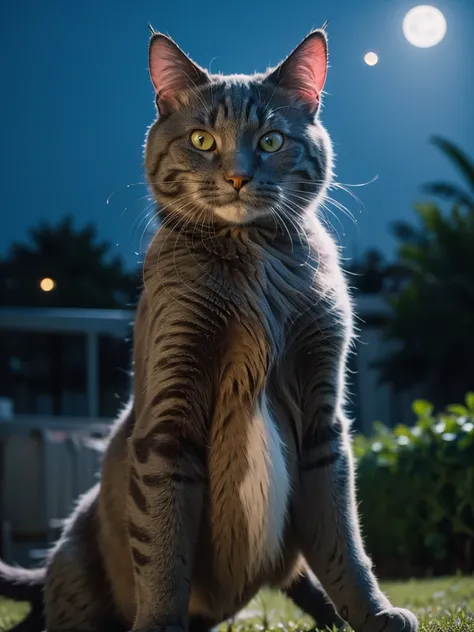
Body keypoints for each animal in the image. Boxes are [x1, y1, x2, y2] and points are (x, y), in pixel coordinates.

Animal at [0, 27, 416, 632]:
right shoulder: (167, 416)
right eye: (200, 139)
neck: (252, 261)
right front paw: (157, 625)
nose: (238, 176)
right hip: (77, 565)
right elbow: (162, 545)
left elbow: (342, 537)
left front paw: (374, 613)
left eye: (270, 140)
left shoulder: (323, 414)